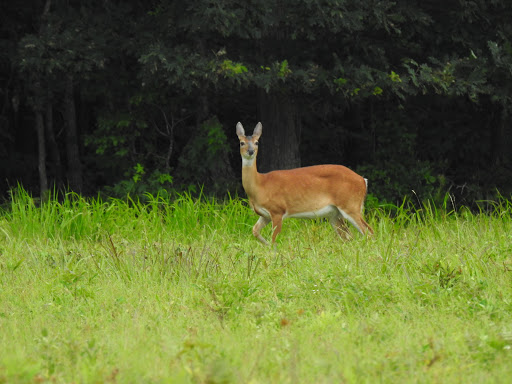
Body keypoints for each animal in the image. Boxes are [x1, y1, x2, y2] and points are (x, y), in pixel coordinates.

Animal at [236, 121, 372, 246]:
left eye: (257, 142)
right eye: (241, 142)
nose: (251, 151)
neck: (260, 185)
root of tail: (362, 180)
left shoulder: (278, 210)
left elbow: (274, 239)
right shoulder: (265, 215)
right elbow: (255, 231)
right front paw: (267, 247)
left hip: (350, 204)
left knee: (368, 231)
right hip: (334, 214)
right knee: (349, 236)